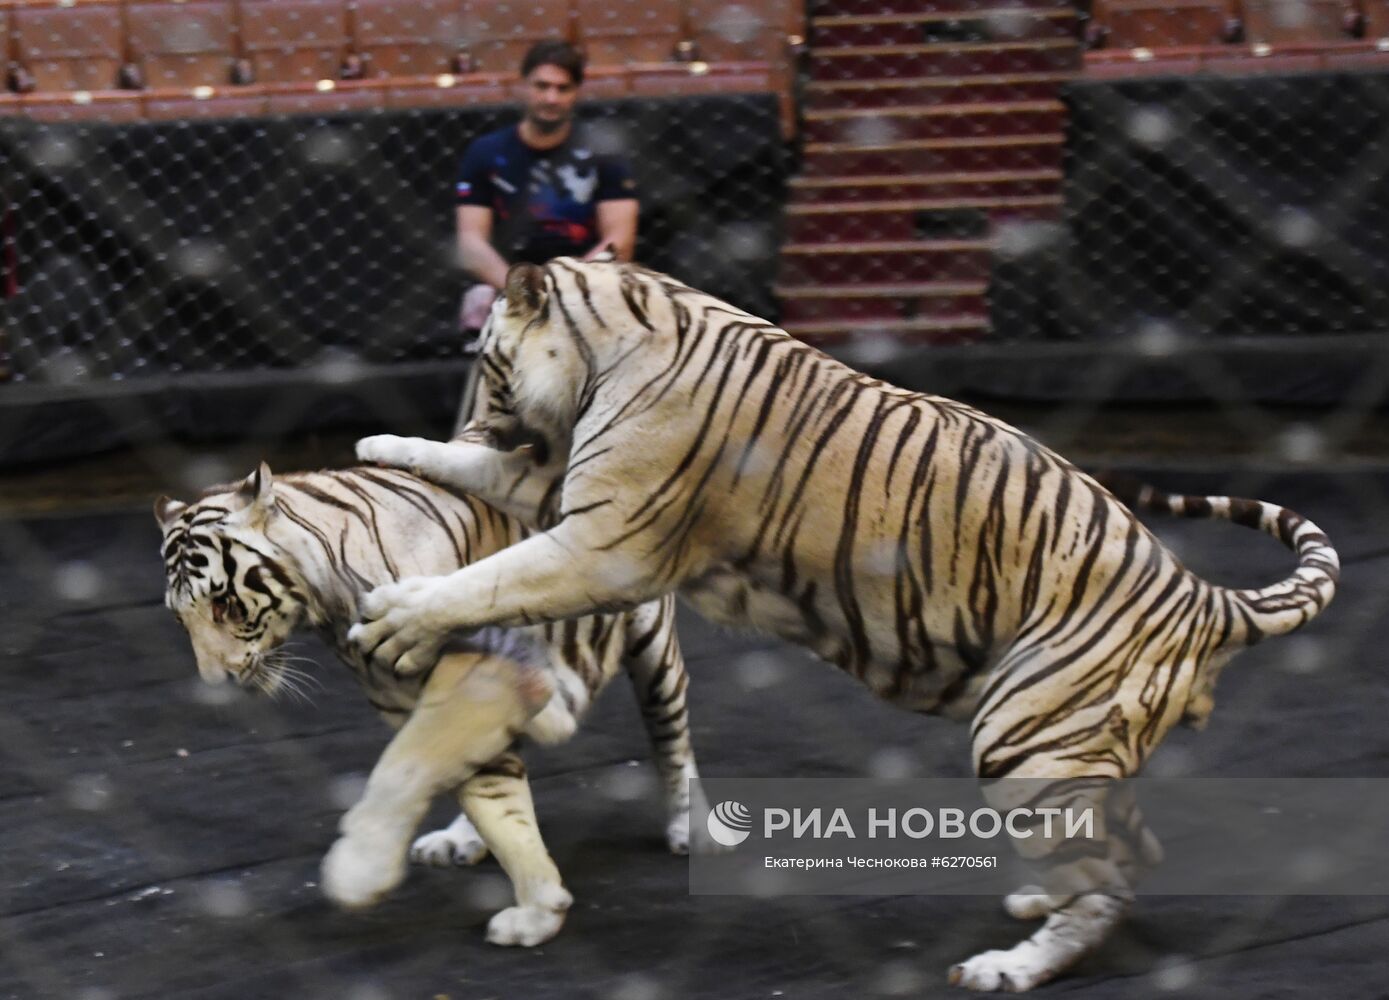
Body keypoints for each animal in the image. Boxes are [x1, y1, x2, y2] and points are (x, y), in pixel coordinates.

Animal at [159, 461, 705, 944]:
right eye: (181, 619)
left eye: (225, 605)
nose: (217, 683)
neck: (327, 606)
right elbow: (491, 798)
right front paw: (540, 909)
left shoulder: (483, 673)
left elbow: (403, 770)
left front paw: (359, 872)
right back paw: (460, 839)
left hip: (652, 649)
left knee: (671, 735)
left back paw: (687, 826)